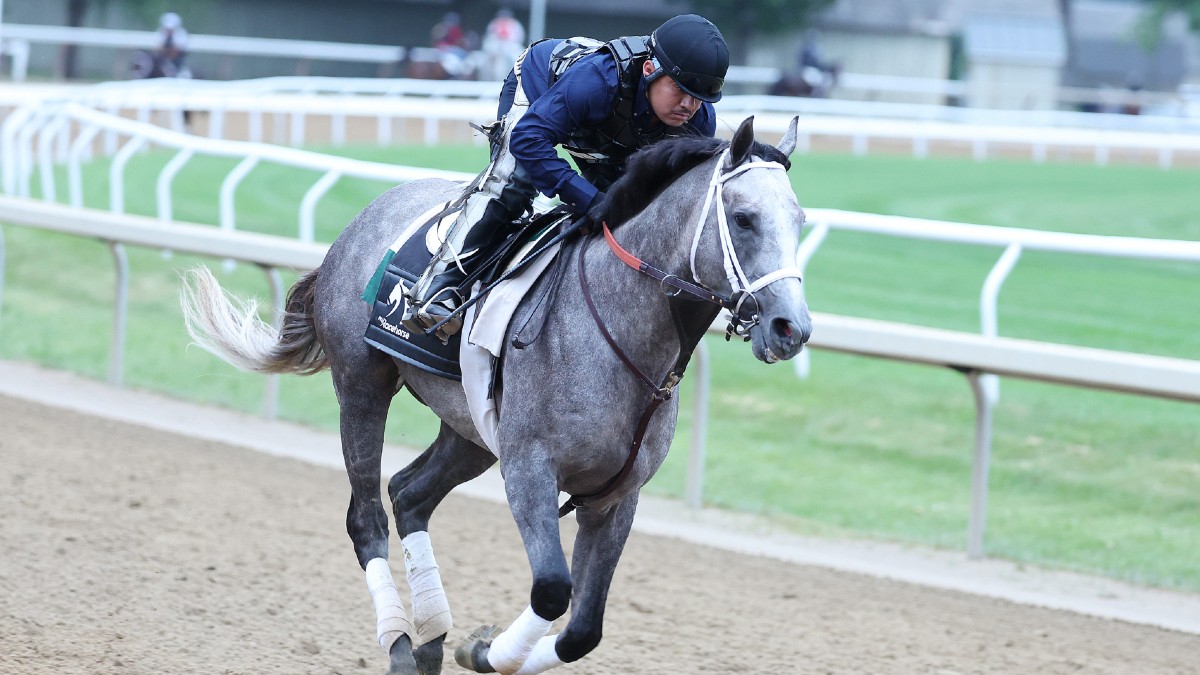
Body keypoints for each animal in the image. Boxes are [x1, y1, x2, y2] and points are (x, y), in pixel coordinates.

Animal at [180, 112, 816, 667]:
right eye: (744, 217)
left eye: (800, 220)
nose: (792, 328)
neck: (620, 335)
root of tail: (367, 215)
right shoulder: (530, 468)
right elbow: (553, 590)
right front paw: (483, 650)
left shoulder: (616, 495)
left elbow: (583, 629)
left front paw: (478, 647)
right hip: (362, 387)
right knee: (366, 517)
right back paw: (402, 645)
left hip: (471, 431)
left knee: (409, 494)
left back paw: (432, 637)